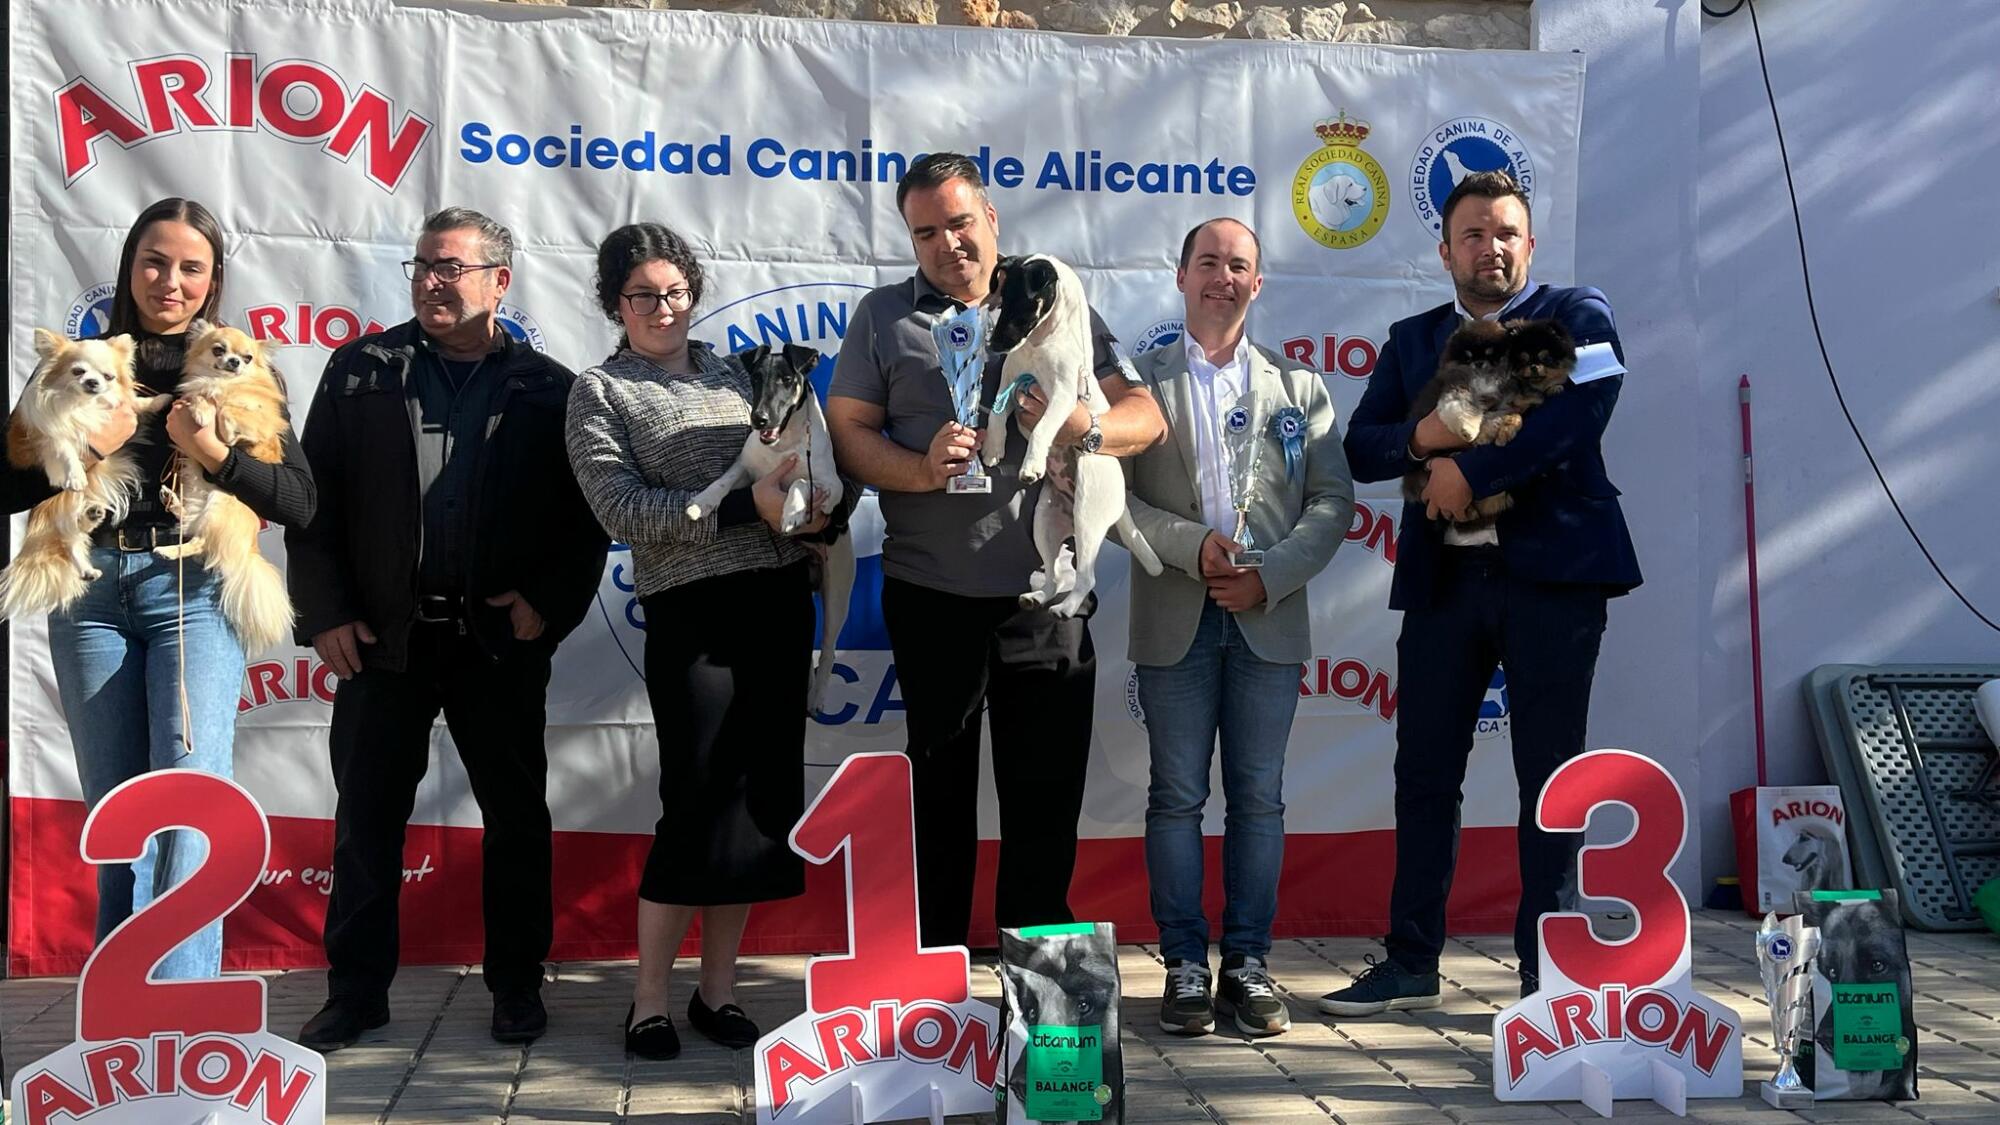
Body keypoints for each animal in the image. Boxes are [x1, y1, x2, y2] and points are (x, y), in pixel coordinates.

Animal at [0, 331, 170, 619]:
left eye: (109, 376)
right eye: (78, 371)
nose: (92, 382)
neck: (85, 404)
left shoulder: (120, 404)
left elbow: (134, 402)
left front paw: (159, 400)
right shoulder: (50, 437)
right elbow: (67, 448)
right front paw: (75, 474)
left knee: (76, 531)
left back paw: (90, 536)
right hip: (60, 502)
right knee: (68, 538)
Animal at [154, 321, 295, 656]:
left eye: (247, 358)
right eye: (219, 350)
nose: (233, 363)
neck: (223, 383)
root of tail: (250, 548)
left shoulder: (259, 424)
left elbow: (230, 412)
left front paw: (221, 425)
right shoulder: (196, 393)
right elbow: (201, 396)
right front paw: (199, 406)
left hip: (220, 502)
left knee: (201, 542)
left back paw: (167, 550)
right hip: (200, 503)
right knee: (191, 528)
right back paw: (170, 503)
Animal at [683, 343, 854, 716]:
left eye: (787, 379)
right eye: (756, 378)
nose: (759, 419)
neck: (783, 443)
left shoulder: (830, 489)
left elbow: (801, 482)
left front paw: (791, 512)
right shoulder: (746, 470)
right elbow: (723, 481)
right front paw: (701, 503)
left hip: (838, 591)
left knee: (829, 648)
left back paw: (817, 698)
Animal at [981, 254, 1162, 617]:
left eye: (1021, 303)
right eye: (1000, 300)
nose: (992, 345)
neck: (1041, 343)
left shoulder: (1062, 396)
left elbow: (1042, 429)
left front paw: (1031, 465)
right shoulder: (1010, 379)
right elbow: (995, 415)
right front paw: (993, 448)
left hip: (1088, 516)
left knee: (1085, 577)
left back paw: (1066, 607)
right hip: (1044, 524)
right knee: (1052, 577)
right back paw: (1037, 597)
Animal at [1402, 317, 1576, 530]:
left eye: (1490, 354)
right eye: (1467, 358)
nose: (1478, 363)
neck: (1485, 378)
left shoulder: (1506, 398)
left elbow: (1512, 413)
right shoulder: (1458, 388)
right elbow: (1466, 409)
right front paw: (1471, 431)